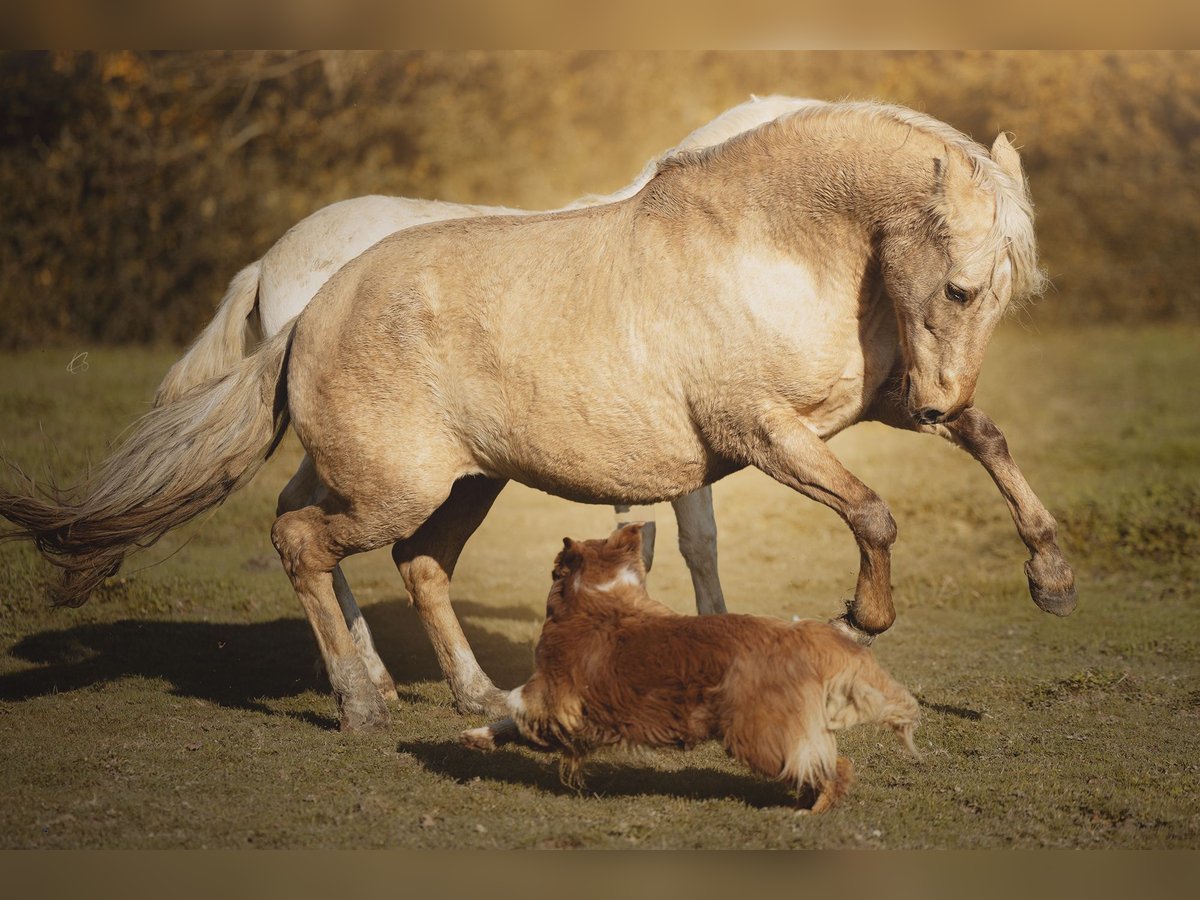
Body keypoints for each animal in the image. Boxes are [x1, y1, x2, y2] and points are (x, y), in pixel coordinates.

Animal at [460, 525, 916, 816]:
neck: (600, 594)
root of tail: (796, 638)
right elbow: (513, 720)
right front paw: (478, 737)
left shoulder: (557, 695)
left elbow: (518, 708)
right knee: (819, 761)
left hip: (757, 735)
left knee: (832, 766)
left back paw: (814, 811)